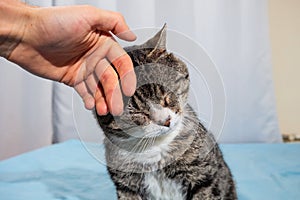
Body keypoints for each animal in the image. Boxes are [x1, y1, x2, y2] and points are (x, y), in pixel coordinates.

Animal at [96, 25, 237, 200]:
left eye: (166, 95)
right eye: (139, 112)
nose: (166, 121)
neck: (155, 148)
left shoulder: (204, 177)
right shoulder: (127, 187)